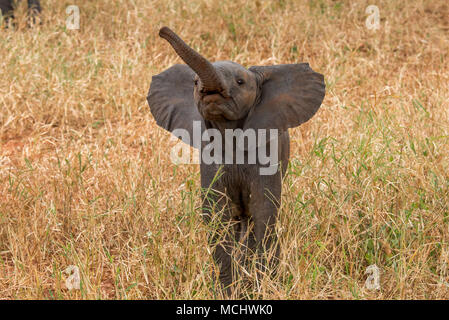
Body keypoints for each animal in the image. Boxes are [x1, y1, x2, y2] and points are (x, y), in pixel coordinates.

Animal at [148, 26, 326, 292]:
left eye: (240, 82)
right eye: (194, 82)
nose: (162, 31)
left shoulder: (266, 150)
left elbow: (263, 207)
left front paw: (262, 284)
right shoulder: (209, 155)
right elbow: (216, 212)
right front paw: (227, 289)